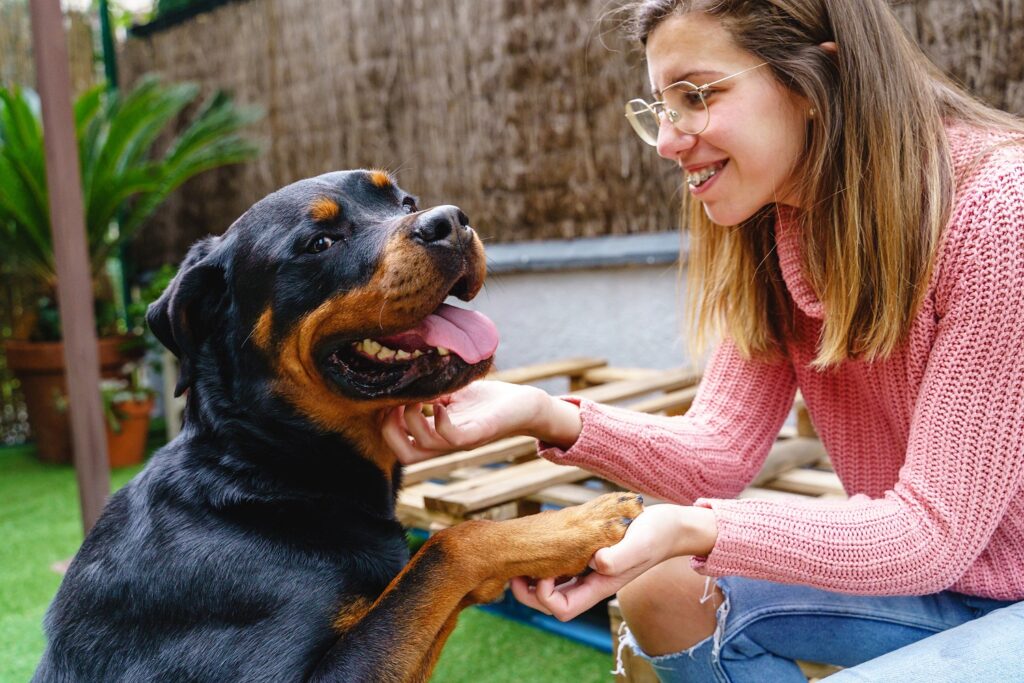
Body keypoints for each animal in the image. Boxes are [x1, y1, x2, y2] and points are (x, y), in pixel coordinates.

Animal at [34, 167, 638, 679]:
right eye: (319, 243)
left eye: (405, 202)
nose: (449, 220)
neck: (270, 466)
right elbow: (447, 547)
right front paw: (582, 523)